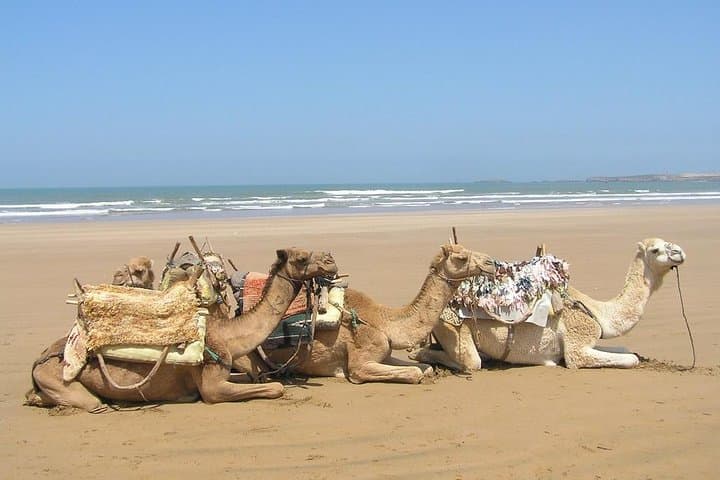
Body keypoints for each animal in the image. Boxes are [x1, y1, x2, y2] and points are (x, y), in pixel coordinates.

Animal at [25, 248, 338, 412]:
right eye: (301, 258)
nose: (330, 260)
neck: (228, 336)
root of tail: (40, 359)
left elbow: (259, 378)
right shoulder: (212, 386)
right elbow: (274, 388)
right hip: (63, 380)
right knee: (90, 402)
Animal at [245, 244, 496, 384]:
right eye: (461, 257)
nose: (491, 262)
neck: (383, 322)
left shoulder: (385, 352)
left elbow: (425, 369)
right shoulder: (360, 363)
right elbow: (414, 372)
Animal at [412, 238, 686, 370]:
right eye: (655, 249)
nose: (680, 252)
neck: (597, 311)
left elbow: (626, 350)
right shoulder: (577, 346)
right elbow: (629, 359)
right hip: (452, 327)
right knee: (467, 361)